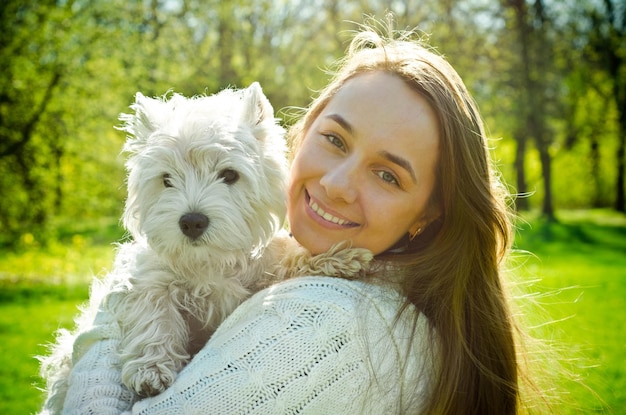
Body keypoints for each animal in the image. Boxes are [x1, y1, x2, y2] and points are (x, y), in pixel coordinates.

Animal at [37, 83, 370, 414]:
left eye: (230, 175)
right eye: (167, 179)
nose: (192, 222)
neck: (210, 261)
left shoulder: (260, 270)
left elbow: (288, 259)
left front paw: (341, 257)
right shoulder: (148, 274)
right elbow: (153, 311)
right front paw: (151, 369)